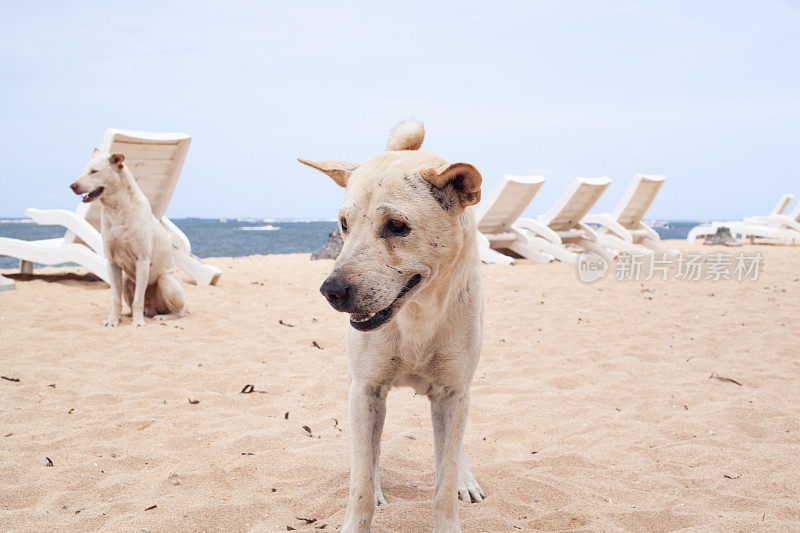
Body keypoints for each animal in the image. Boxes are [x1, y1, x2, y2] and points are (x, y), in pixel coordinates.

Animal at [70, 148, 186, 326]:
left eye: (94, 171)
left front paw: (137, 323)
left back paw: (162, 317)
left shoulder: (142, 260)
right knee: (133, 304)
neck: (116, 208)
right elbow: (116, 299)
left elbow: (138, 299)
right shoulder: (112, 263)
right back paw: (126, 315)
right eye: (83, 171)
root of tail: (151, 309)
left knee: (177, 311)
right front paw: (113, 320)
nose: (72, 186)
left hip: (165, 280)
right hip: (126, 279)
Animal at [300, 120, 484, 532]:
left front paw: (453, 495)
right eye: (343, 225)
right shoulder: (366, 390)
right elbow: (360, 485)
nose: (331, 291)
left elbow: (444, 481)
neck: (417, 317)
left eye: (397, 227)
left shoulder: (453, 394)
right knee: (368, 455)